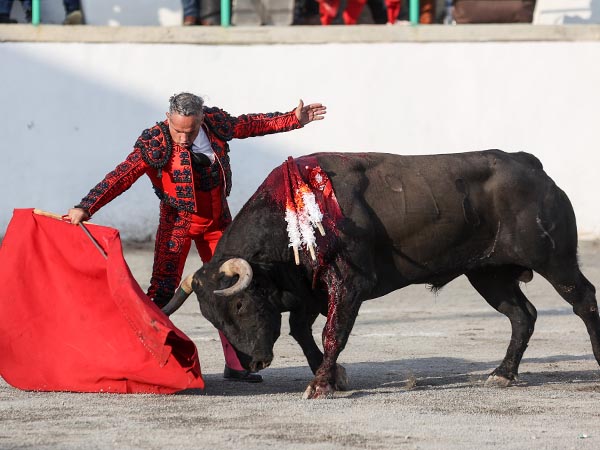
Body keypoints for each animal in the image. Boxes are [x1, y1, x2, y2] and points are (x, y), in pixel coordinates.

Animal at [164, 149, 600, 400]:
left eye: (239, 305)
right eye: (211, 319)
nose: (254, 363)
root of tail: (532, 165)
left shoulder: (350, 283)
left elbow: (333, 332)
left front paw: (320, 384)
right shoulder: (311, 291)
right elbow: (302, 330)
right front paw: (332, 376)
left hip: (554, 259)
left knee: (583, 299)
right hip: (489, 274)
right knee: (522, 315)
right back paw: (502, 374)